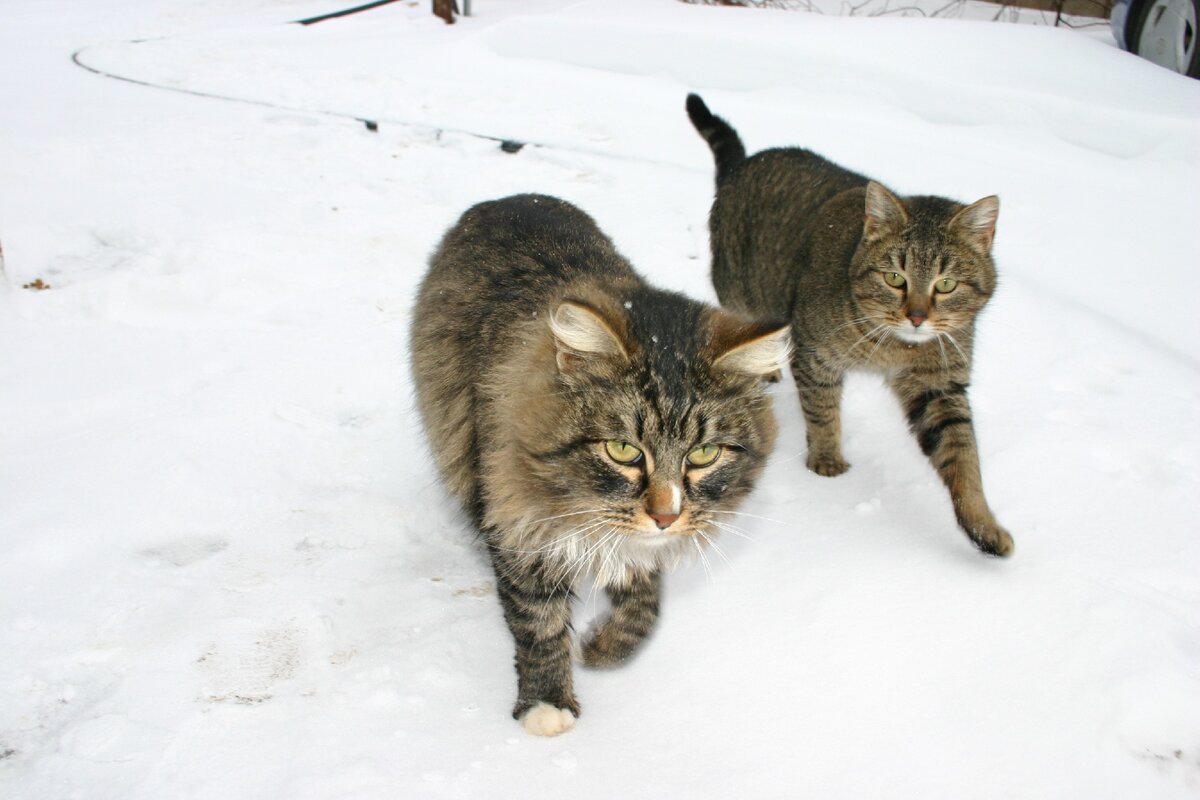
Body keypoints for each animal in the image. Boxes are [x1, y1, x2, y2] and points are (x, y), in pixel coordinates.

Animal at [408, 194, 792, 738]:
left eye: (703, 454)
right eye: (623, 450)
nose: (666, 515)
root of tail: (506, 200)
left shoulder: (642, 548)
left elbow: (644, 602)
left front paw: (606, 649)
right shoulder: (517, 523)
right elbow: (540, 624)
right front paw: (547, 703)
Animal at [686, 94, 1012, 556]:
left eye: (946, 284)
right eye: (895, 277)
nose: (917, 316)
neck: (893, 347)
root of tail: (744, 162)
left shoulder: (939, 386)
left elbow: (962, 457)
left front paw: (982, 524)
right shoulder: (815, 356)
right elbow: (822, 412)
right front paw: (826, 459)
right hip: (741, 293)